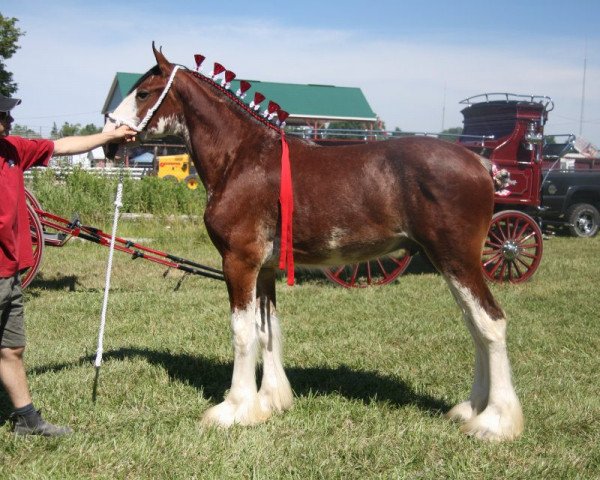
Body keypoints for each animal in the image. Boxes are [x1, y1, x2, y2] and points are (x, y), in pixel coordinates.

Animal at [105, 47, 524, 440]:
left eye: (143, 93)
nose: (108, 143)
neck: (241, 157)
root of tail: (481, 163)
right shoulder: (265, 268)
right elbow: (266, 329)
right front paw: (269, 401)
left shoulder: (239, 262)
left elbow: (242, 332)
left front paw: (234, 408)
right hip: (449, 263)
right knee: (474, 323)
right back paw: (471, 408)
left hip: (457, 259)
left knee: (489, 322)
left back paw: (495, 421)